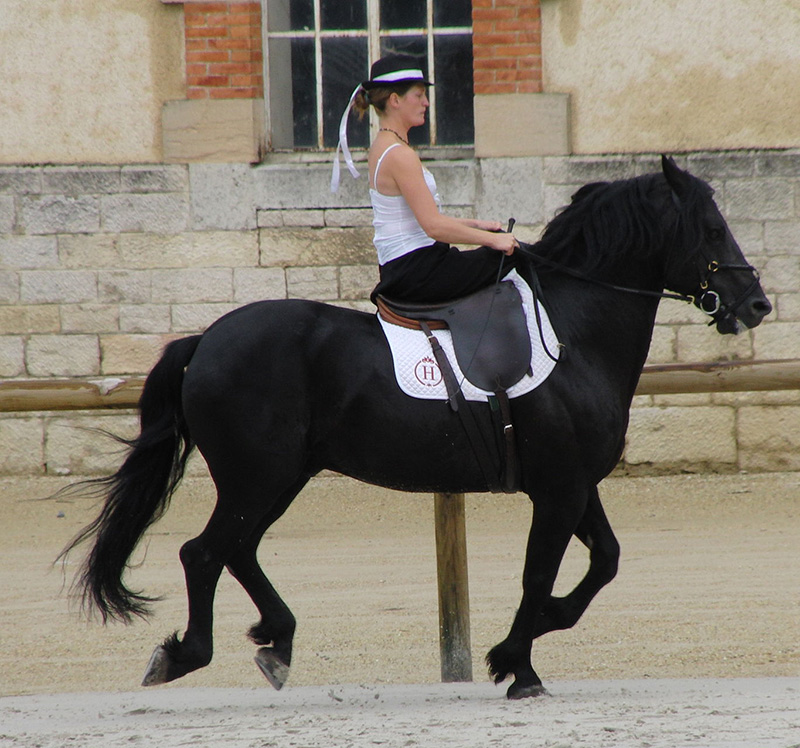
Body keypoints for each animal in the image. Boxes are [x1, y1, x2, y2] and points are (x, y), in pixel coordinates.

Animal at [61, 155, 768, 700]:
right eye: (711, 230)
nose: (756, 304)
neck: (572, 331)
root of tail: (205, 341)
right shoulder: (559, 489)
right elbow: (540, 575)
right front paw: (518, 665)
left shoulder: (574, 484)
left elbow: (605, 562)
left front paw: (528, 640)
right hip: (256, 476)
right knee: (205, 552)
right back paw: (188, 653)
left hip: (280, 478)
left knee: (236, 550)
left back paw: (276, 641)